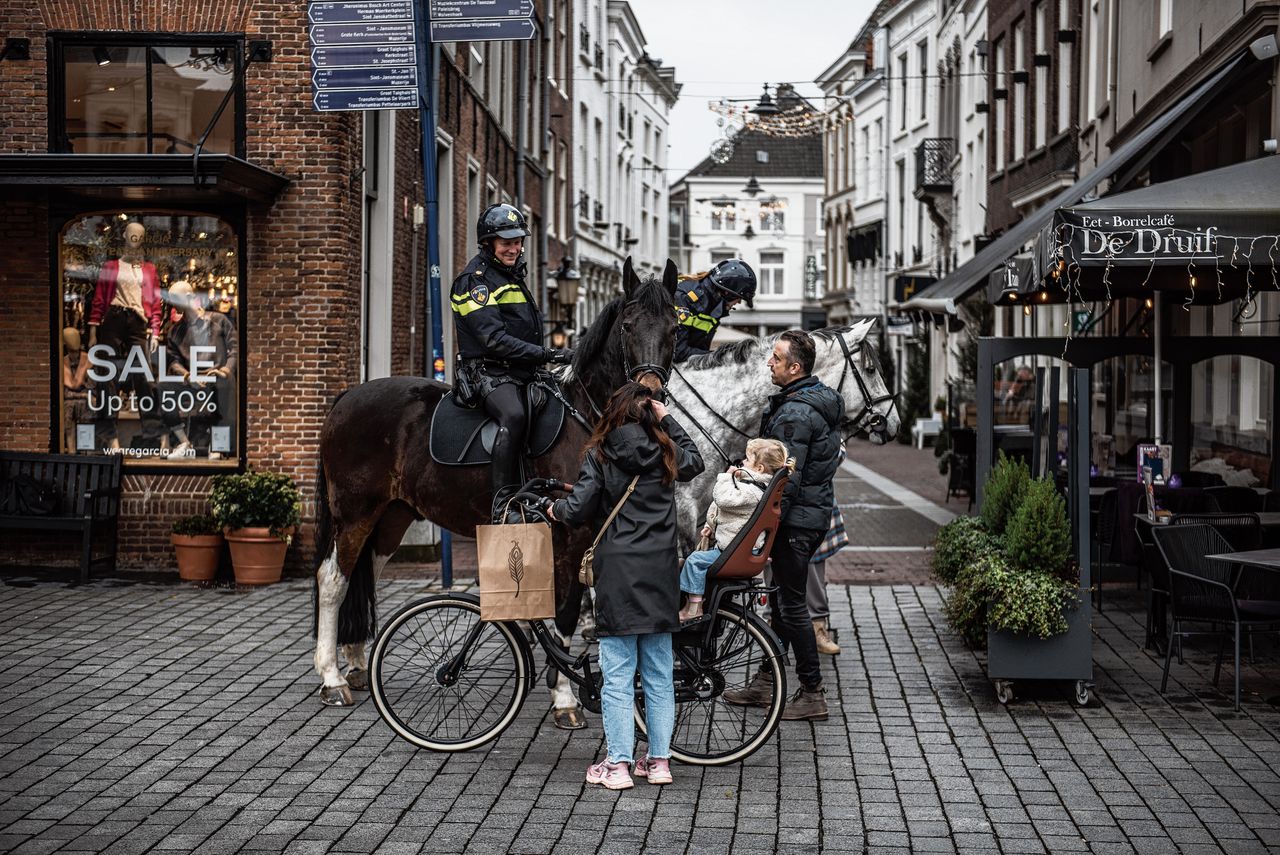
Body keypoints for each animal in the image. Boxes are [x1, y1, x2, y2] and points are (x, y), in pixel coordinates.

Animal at [312, 258, 680, 721]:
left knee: (364, 579)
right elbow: (566, 610)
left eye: (674, 327)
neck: (589, 417)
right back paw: (332, 678)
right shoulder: (569, 534)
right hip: (354, 513)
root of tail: (347, 397)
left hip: (391, 517)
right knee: (333, 580)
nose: (649, 395)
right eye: (628, 326)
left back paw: (358, 663)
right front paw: (565, 697)